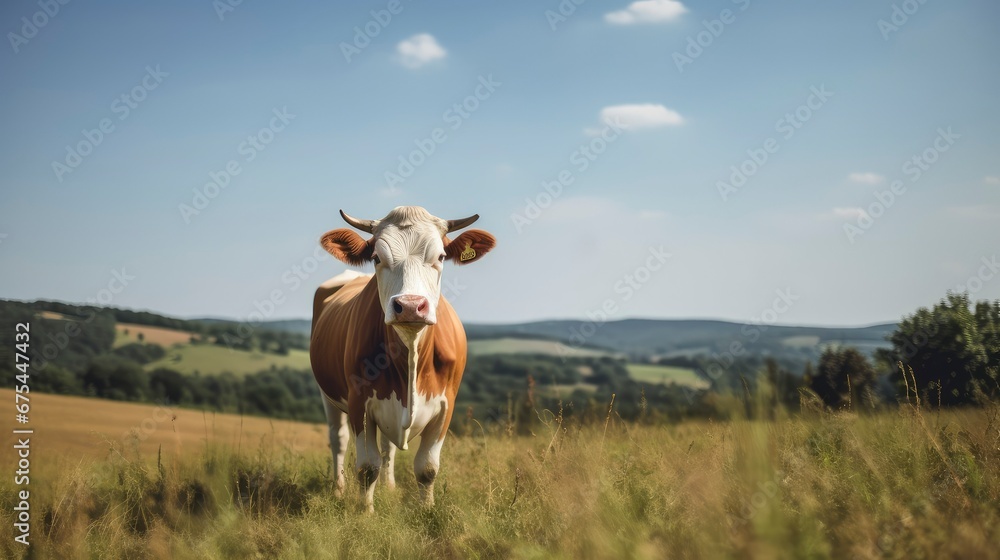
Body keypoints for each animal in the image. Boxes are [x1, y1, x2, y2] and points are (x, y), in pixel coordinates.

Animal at [310, 207, 494, 512]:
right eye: (376, 257)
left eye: (440, 257)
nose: (409, 305)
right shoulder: (359, 402)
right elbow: (367, 467)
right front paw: (366, 513)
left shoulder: (446, 404)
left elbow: (427, 467)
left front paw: (427, 510)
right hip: (328, 394)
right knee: (338, 439)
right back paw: (338, 489)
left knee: (388, 446)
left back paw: (389, 486)